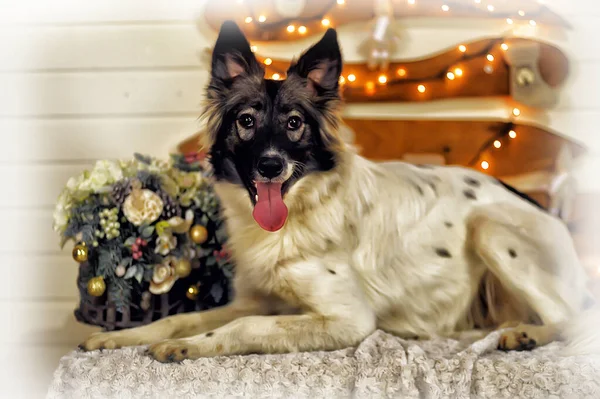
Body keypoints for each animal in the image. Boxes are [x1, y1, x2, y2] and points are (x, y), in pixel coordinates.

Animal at [79, 20, 596, 360]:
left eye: (294, 123)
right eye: (246, 121)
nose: (271, 165)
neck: (294, 215)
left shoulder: (347, 318)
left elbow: (246, 326)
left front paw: (186, 347)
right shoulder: (256, 298)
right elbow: (181, 316)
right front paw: (120, 337)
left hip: (489, 227)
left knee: (572, 318)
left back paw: (521, 335)